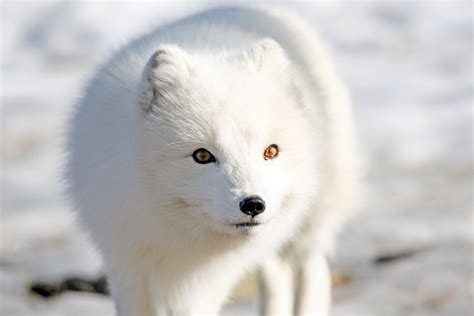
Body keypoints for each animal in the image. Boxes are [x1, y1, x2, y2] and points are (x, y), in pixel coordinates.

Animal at [65, 5, 356, 316]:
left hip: (311, 222)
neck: (176, 233)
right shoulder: (126, 261)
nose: (253, 204)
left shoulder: (206, 282)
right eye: (202, 155)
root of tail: (256, 8)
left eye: (270, 151)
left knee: (312, 268)